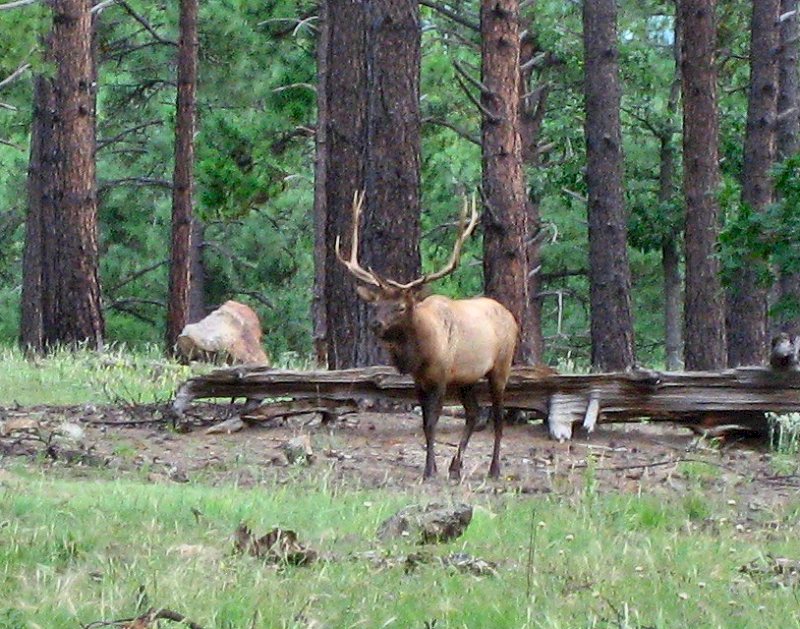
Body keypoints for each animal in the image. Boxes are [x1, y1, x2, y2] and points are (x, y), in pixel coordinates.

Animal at [336, 191, 519, 481]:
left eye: (401, 306)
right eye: (376, 304)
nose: (376, 324)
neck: (420, 354)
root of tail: (512, 317)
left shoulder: (441, 377)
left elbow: (433, 422)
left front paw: (429, 471)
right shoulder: (419, 381)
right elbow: (424, 424)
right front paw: (433, 467)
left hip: (501, 367)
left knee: (498, 418)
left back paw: (494, 469)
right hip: (467, 379)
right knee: (474, 413)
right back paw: (455, 467)